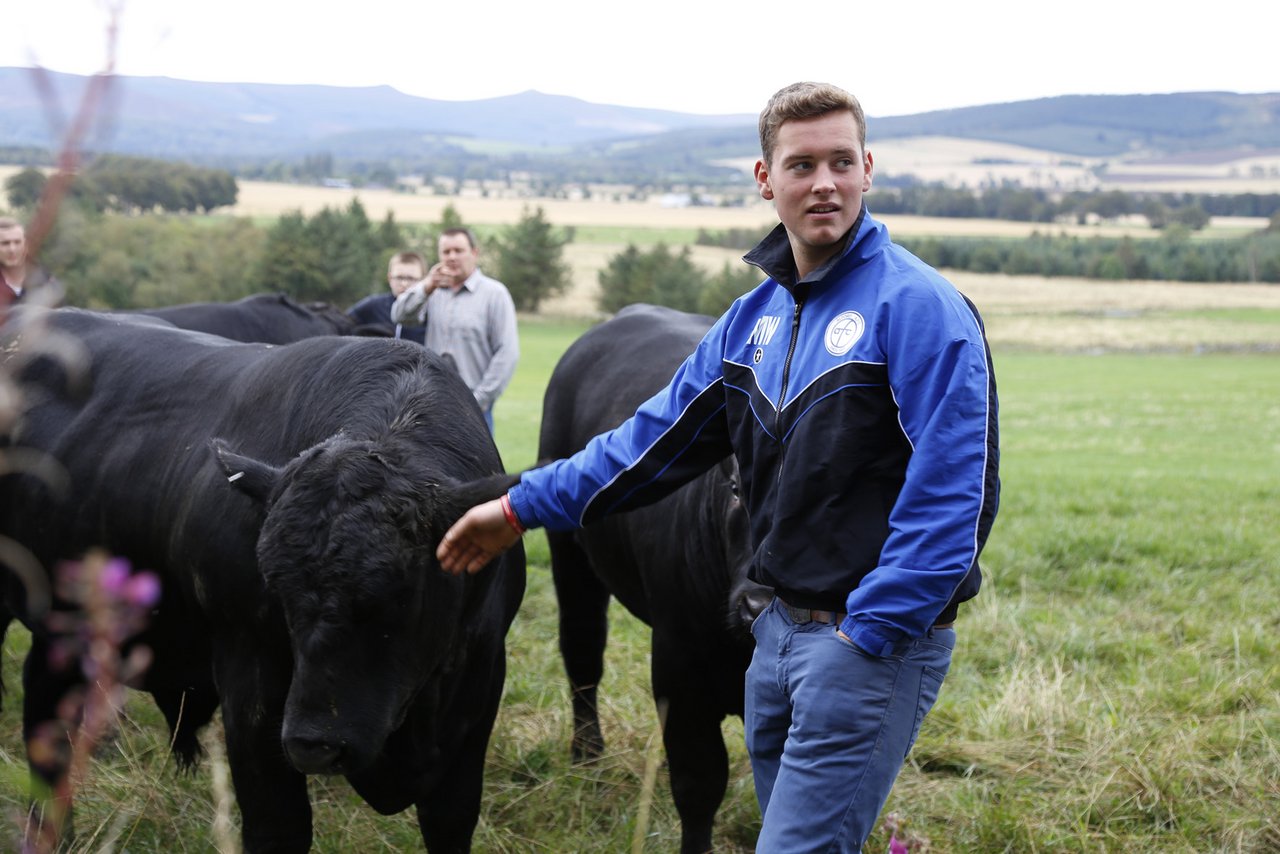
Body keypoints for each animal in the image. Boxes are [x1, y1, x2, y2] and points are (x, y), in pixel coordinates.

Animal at [0, 308, 524, 854]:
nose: (314, 744)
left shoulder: (479, 683)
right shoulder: (249, 683)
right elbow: (277, 825)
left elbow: (451, 817)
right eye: (277, 587)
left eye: (400, 591)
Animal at [537, 306, 768, 854]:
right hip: (572, 563)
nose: (757, 606)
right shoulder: (679, 673)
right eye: (735, 488)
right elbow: (699, 783)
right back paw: (588, 756)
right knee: (582, 654)